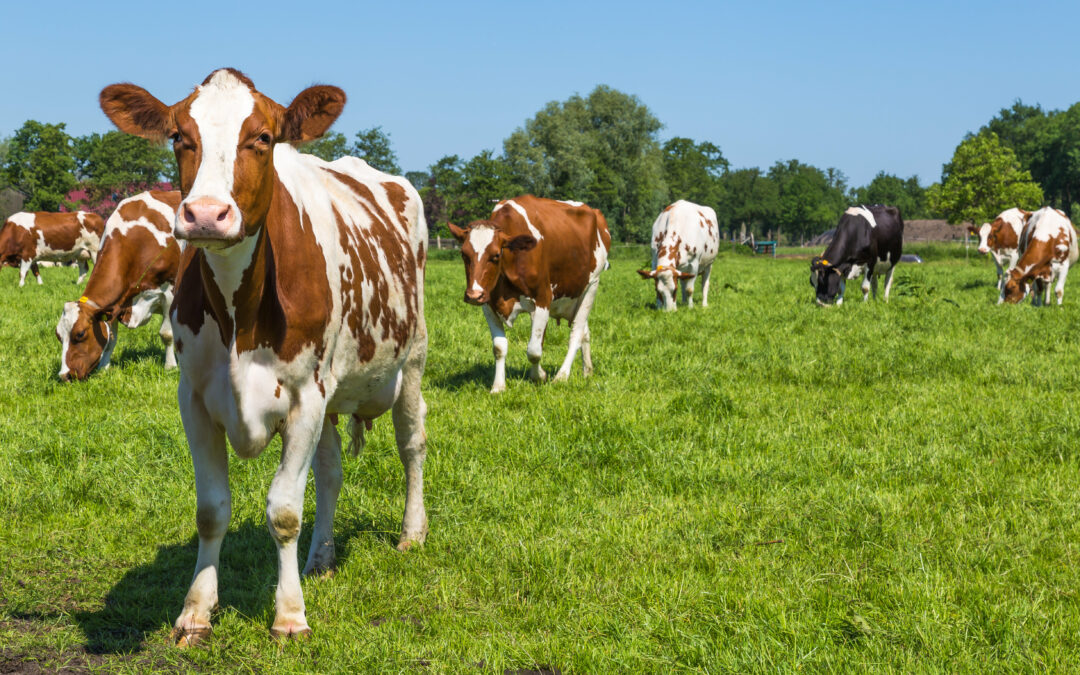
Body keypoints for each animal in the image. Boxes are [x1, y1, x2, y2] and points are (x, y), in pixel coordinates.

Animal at [55, 190, 182, 380]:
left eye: (80, 334)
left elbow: (167, 334)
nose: (64, 375)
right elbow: (111, 338)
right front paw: (104, 367)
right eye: (58, 336)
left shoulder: (169, 292)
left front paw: (170, 366)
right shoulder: (113, 305)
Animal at [97, 68, 425, 643]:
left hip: (412, 360)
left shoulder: (305, 398)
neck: (239, 312)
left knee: (412, 445)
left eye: (263, 138)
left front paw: (289, 616)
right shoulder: (195, 399)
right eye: (179, 137)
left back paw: (411, 533)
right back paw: (321, 557)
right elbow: (211, 510)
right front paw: (196, 611)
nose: (206, 215)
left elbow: (285, 511)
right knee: (331, 472)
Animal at [444, 193, 609, 395]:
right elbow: (499, 347)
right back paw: (587, 371)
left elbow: (534, 350)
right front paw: (498, 386)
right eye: (463, 254)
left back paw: (562, 376)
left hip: (591, 286)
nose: (473, 295)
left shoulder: (543, 299)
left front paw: (539, 376)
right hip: (574, 297)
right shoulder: (488, 305)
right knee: (584, 332)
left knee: (576, 333)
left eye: (496, 255)